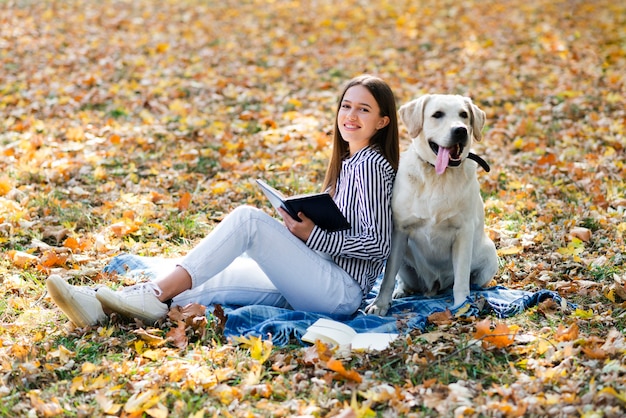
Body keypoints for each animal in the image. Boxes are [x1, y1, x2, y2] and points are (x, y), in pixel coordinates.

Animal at [364, 94, 494, 316]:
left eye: (464, 115)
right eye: (437, 114)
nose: (460, 130)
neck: (438, 176)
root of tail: (433, 287)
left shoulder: (464, 232)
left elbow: (461, 279)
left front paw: (462, 306)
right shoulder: (399, 229)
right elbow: (388, 276)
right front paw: (380, 304)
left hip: (490, 256)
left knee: (471, 282)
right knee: (403, 280)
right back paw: (402, 291)